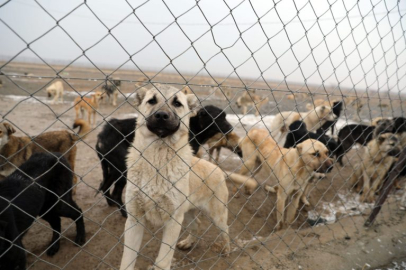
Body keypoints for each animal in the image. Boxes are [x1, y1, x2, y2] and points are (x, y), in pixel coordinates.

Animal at [96, 104, 238, 216]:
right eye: (218, 117)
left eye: (225, 116)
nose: (231, 128)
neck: (195, 127)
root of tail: (102, 135)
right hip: (123, 169)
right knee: (116, 192)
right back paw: (125, 214)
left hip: (113, 168)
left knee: (104, 185)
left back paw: (111, 203)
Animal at [119, 85, 230, 270]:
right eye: (152, 101)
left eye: (177, 103)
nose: (162, 116)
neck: (157, 159)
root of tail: (218, 169)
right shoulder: (134, 219)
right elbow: (127, 260)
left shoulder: (173, 221)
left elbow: (163, 261)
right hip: (189, 211)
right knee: (197, 224)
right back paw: (188, 242)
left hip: (217, 216)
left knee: (226, 229)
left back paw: (227, 249)